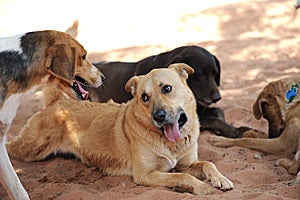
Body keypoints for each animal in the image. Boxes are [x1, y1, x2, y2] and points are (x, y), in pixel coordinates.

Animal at [5, 63, 233, 195]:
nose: (158, 116)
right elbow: (183, 177)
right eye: (144, 97)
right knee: (8, 145)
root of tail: (58, 102)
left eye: (167, 88)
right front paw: (203, 188)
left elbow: (208, 163)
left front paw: (220, 179)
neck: (170, 142)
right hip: (31, 148)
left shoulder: (186, 163)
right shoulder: (146, 175)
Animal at [88, 45, 250, 138]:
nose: (217, 97)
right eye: (200, 75)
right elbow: (215, 119)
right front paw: (236, 131)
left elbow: (219, 112)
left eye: (215, 74)